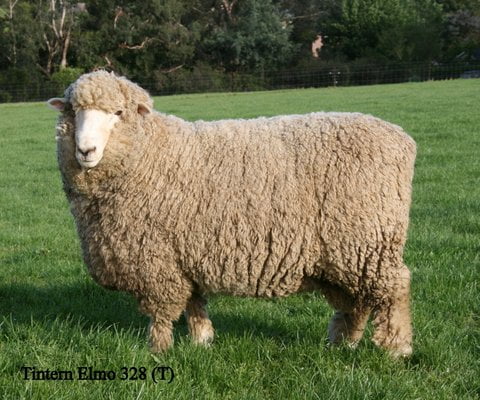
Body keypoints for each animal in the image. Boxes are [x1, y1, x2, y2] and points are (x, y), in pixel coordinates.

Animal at [48, 70, 416, 358]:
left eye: (118, 112)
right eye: (74, 111)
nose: (85, 150)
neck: (150, 152)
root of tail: (402, 139)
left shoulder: (157, 259)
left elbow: (162, 313)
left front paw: (158, 350)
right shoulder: (185, 254)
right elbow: (195, 303)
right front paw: (201, 342)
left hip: (368, 240)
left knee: (394, 288)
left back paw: (397, 349)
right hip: (348, 252)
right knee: (358, 300)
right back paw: (345, 343)